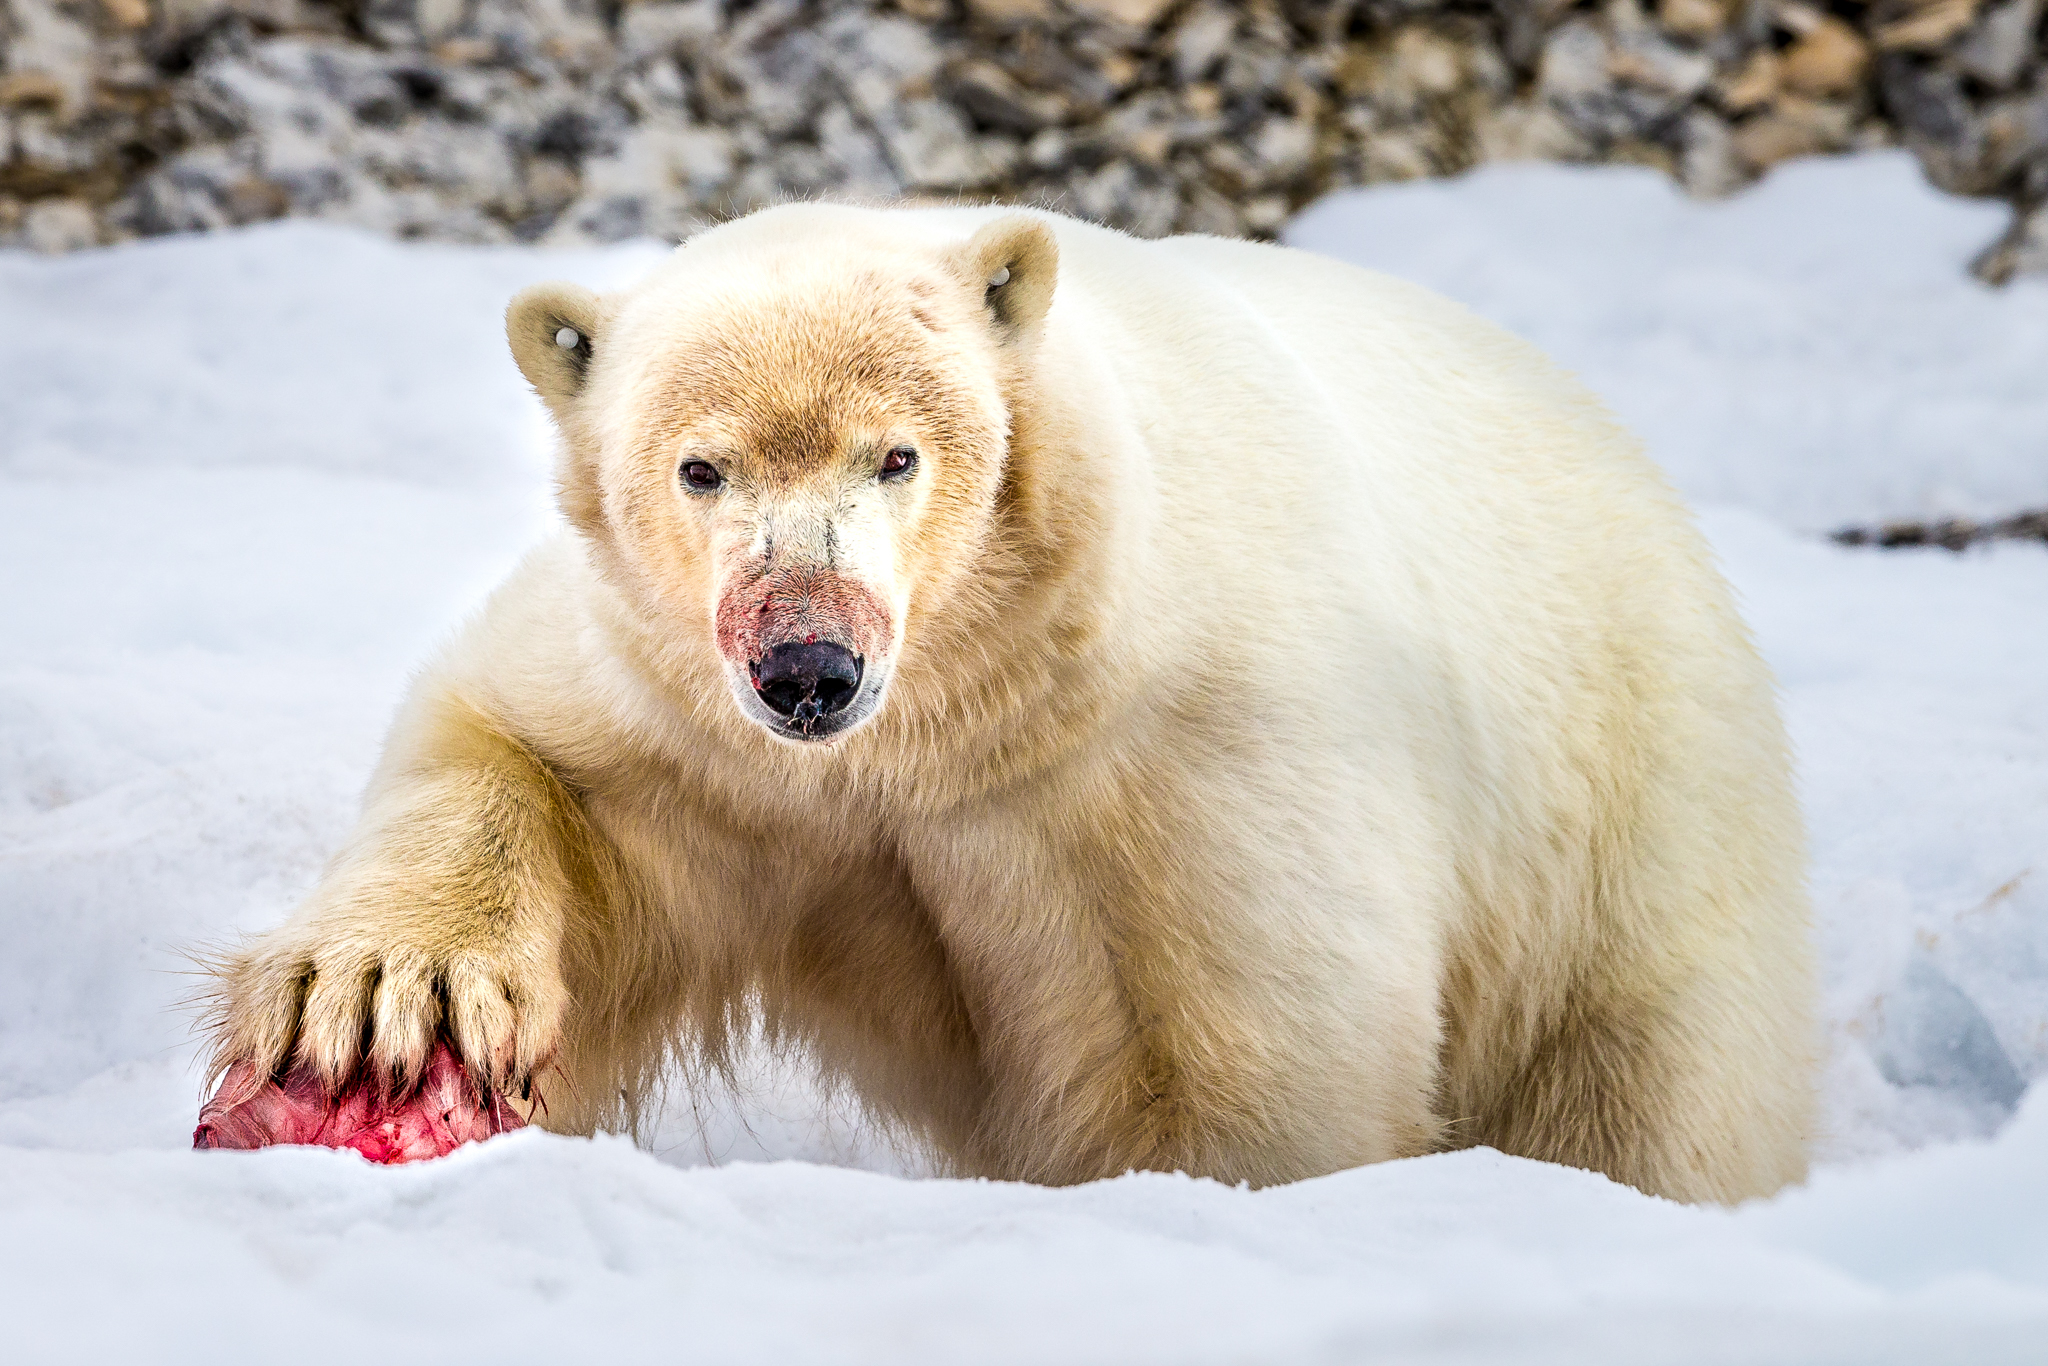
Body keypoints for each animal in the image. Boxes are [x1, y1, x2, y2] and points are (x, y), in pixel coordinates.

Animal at [205, 202, 1815, 1203]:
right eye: (699, 465)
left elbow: (1254, 1070)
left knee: (1647, 1094)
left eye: (899, 454)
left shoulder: (1183, 754)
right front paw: (379, 1009)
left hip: (1631, 824)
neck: (952, 709)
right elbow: (532, 767)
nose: (808, 665)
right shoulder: (687, 720)